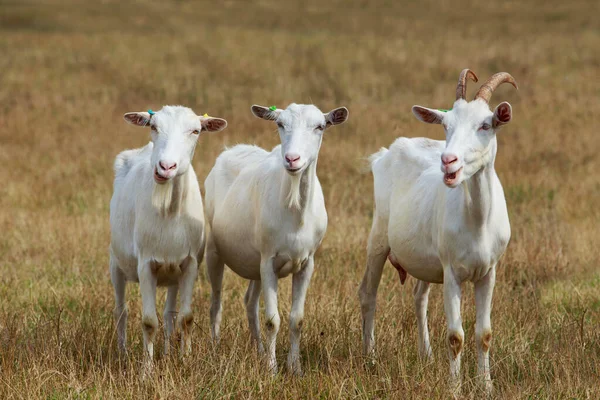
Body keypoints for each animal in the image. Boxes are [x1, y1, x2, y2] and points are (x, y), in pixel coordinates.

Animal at [109, 105, 229, 366]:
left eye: (195, 131)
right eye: (153, 126)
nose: (165, 167)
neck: (170, 211)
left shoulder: (190, 263)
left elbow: (185, 317)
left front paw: (185, 360)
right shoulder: (146, 264)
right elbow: (148, 321)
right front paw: (147, 368)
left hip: (173, 272)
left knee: (169, 313)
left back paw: (166, 353)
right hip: (115, 260)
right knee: (121, 310)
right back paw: (122, 352)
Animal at [205, 103, 350, 376]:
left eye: (320, 126)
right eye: (280, 124)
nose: (292, 159)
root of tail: (232, 149)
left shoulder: (307, 262)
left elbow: (297, 319)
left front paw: (295, 368)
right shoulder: (269, 259)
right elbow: (273, 320)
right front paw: (272, 371)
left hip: (254, 264)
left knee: (250, 302)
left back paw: (259, 350)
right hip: (214, 250)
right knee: (216, 302)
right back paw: (216, 346)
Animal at [358, 69, 516, 394]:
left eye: (486, 124)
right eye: (446, 125)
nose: (448, 161)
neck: (477, 223)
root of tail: (384, 154)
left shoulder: (489, 271)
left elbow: (485, 333)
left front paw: (486, 387)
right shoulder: (452, 272)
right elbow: (456, 336)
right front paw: (454, 389)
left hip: (427, 261)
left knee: (419, 296)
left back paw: (426, 354)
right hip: (379, 235)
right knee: (368, 293)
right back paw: (370, 358)